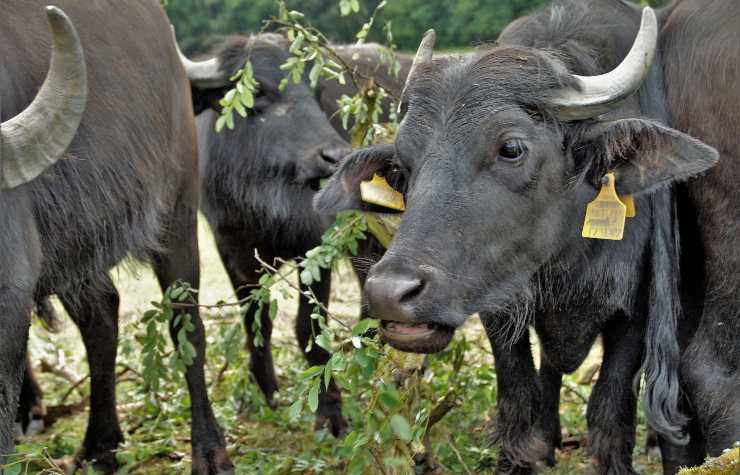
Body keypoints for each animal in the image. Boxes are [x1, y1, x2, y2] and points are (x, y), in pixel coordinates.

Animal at [1, 1, 233, 474]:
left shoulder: (11, 290)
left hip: (178, 206)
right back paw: (99, 445)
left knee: (187, 326)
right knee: (102, 318)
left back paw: (209, 450)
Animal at [316, 1, 736, 474]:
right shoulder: (495, 304)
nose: (390, 293)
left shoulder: (635, 313)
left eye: (511, 148)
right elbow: (519, 400)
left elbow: (609, 412)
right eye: (400, 167)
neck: (569, 254)